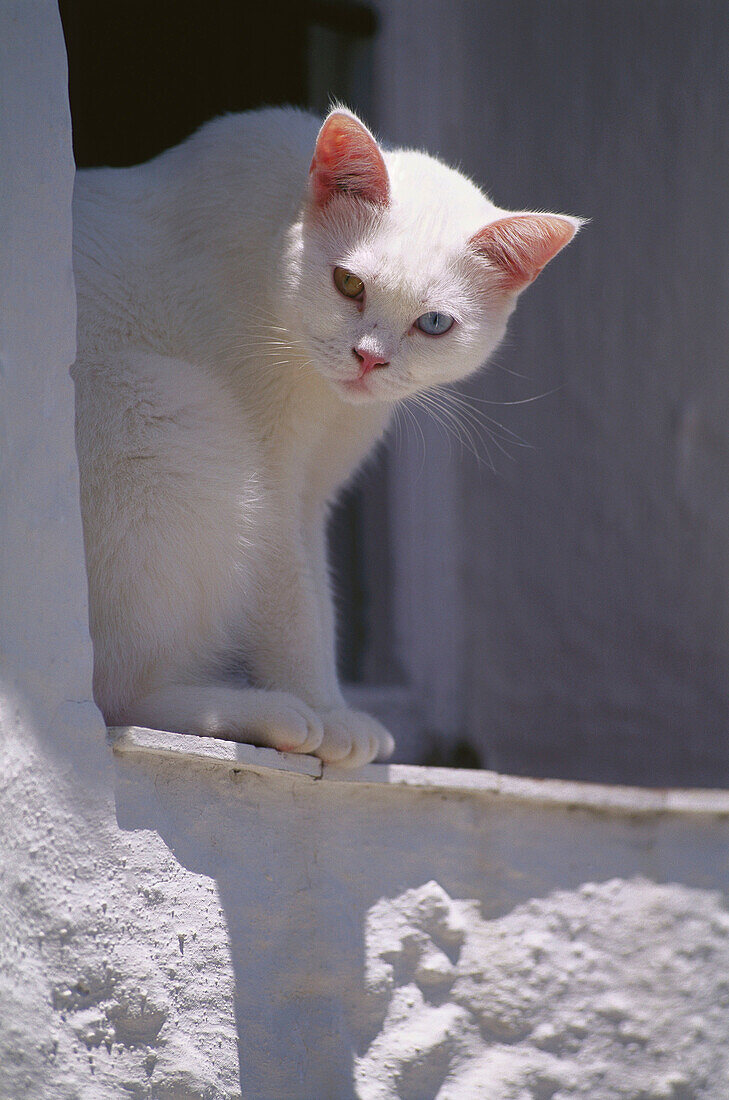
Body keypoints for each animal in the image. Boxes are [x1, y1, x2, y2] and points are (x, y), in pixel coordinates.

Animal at [69, 109, 580, 765]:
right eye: (349, 284)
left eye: (435, 323)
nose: (368, 358)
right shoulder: (272, 483)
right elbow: (295, 608)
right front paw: (325, 715)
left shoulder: (312, 497)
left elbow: (321, 597)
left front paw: (335, 709)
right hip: (175, 423)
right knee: (116, 698)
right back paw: (265, 715)